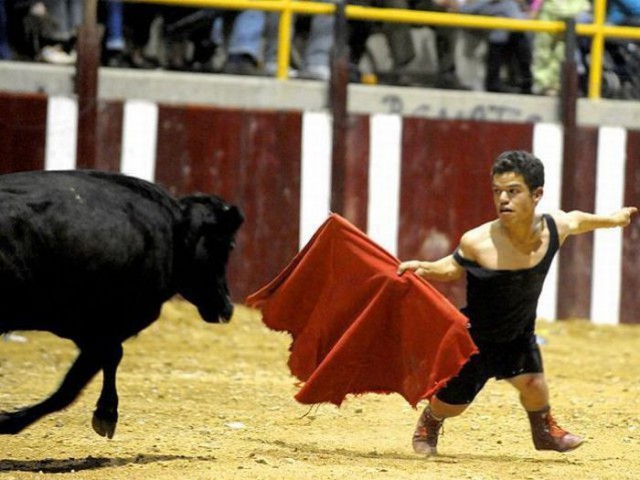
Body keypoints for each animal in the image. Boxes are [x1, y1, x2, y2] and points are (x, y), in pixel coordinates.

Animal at [0, 170, 244, 438]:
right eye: (229, 245)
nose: (228, 308)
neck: (173, 232)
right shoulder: (97, 328)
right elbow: (73, 386)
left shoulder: (92, 332)